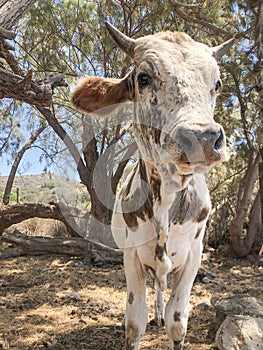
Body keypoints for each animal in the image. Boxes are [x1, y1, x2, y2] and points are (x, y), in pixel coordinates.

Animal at [71, 22, 235, 350]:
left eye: (218, 83)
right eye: (143, 78)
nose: (202, 138)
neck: (167, 199)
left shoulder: (194, 255)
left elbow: (177, 321)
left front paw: (169, 321)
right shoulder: (131, 257)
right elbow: (135, 322)